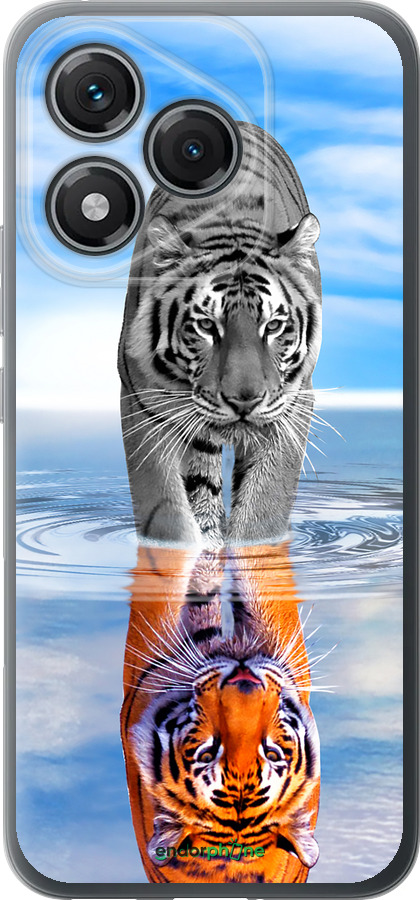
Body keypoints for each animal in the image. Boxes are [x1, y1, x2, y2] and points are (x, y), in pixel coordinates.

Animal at [118, 121, 322, 548]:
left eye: (273, 326)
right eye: (207, 326)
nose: (244, 400)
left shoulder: (293, 404)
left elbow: (264, 508)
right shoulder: (142, 401)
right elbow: (166, 511)